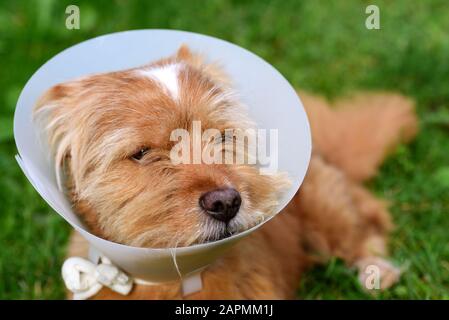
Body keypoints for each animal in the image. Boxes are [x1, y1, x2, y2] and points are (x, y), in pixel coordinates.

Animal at [33, 46, 414, 298]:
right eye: (141, 154)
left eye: (222, 137)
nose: (226, 202)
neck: (174, 279)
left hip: (327, 206)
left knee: (364, 231)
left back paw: (376, 272)